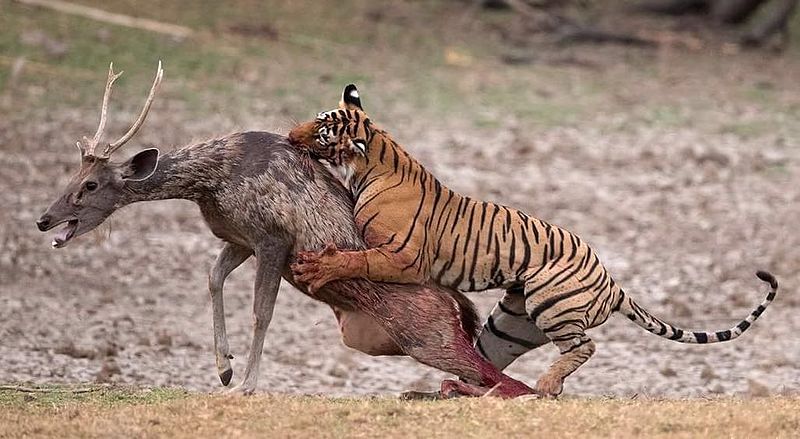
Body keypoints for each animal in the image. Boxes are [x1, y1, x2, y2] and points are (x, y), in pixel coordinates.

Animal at [37, 62, 536, 398]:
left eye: (91, 184)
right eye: (72, 175)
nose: (44, 219)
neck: (212, 181)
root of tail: (459, 307)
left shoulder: (272, 237)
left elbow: (263, 311)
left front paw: (246, 384)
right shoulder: (238, 238)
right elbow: (213, 279)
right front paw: (223, 368)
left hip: (430, 337)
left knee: (510, 380)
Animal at [286, 83, 776, 398]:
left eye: (323, 130)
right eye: (316, 118)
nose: (290, 135)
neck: (372, 161)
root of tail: (612, 282)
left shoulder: (402, 257)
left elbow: (356, 260)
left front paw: (319, 266)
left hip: (550, 304)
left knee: (584, 346)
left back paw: (547, 385)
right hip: (509, 325)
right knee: (487, 367)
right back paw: (455, 390)